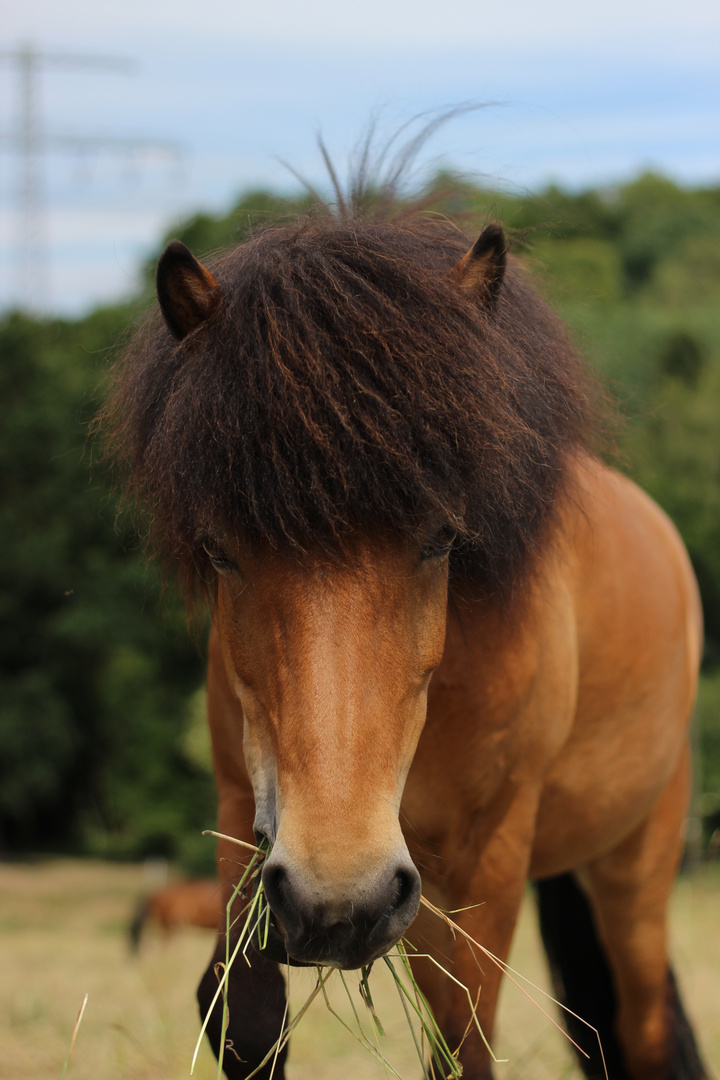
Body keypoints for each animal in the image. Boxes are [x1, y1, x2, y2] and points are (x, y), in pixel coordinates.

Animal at [105, 204, 708, 1080]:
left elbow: (463, 1049)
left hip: (631, 864)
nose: (336, 900)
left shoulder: (487, 857)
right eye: (219, 550)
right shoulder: (246, 813)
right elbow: (243, 1017)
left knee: (645, 1027)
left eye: (443, 538)